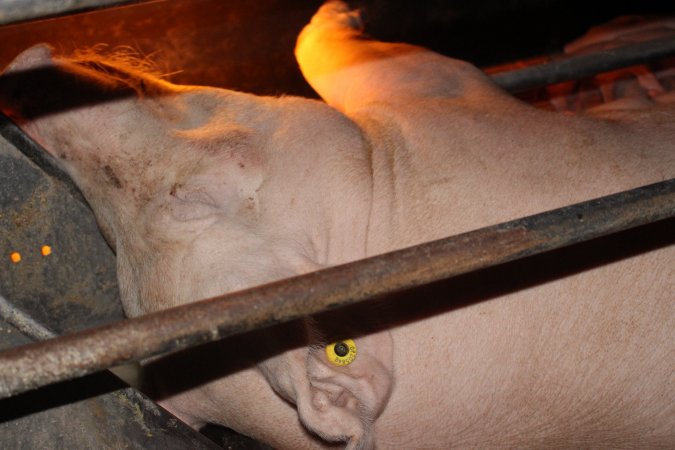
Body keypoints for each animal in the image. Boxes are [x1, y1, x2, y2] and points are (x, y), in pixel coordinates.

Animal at [0, 1, 672, 448]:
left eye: (188, 198)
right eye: (115, 231)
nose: (20, 87)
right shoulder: (451, 112)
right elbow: (358, 57)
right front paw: (335, 12)